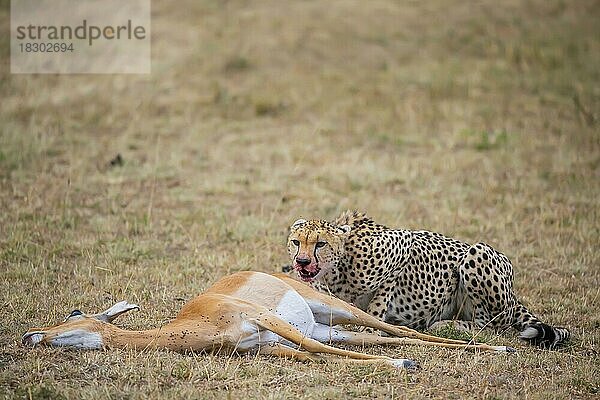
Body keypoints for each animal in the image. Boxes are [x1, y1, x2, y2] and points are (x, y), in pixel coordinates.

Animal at [288, 211, 568, 348]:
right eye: (296, 242)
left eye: (320, 244)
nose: (301, 262)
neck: (337, 267)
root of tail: (513, 296)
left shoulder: (403, 245)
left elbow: (378, 302)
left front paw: (370, 327)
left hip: (477, 254)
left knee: (491, 326)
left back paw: (447, 325)